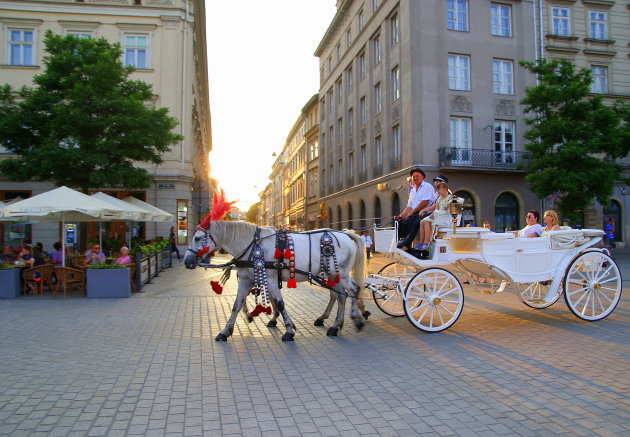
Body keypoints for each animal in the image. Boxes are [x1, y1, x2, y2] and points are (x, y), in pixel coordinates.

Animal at [185, 221, 368, 340]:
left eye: (197, 238)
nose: (186, 261)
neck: (253, 245)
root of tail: (345, 233)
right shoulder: (245, 280)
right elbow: (236, 305)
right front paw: (225, 331)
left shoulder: (271, 279)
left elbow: (279, 303)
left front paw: (289, 330)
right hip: (333, 276)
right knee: (340, 296)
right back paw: (335, 326)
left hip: (340, 273)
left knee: (353, 290)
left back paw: (356, 319)